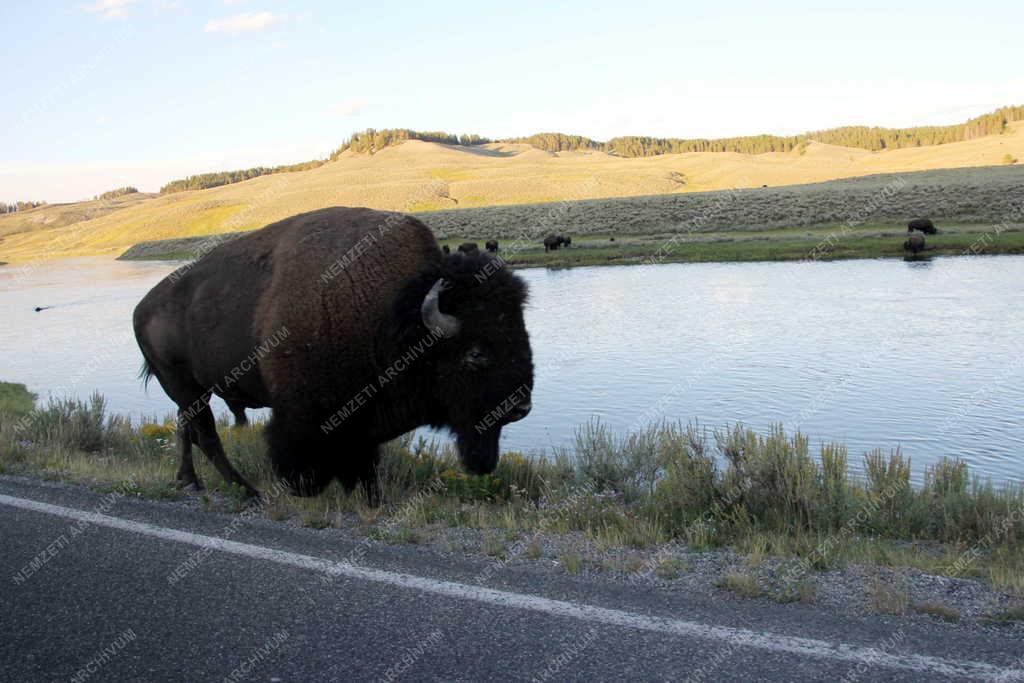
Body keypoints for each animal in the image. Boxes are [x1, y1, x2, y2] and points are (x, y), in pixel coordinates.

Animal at [132, 208, 536, 501]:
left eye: (522, 334)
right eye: (476, 353)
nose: (520, 408)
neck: (392, 313)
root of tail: (142, 306)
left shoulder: (363, 416)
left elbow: (366, 462)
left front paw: (372, 499)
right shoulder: (305, 415)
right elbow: (311, 457)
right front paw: (309, 491)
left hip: (190, 392)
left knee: (187, 429)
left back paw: (190, 482)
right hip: (185, 388)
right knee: (206, 434)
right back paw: (249, 492)